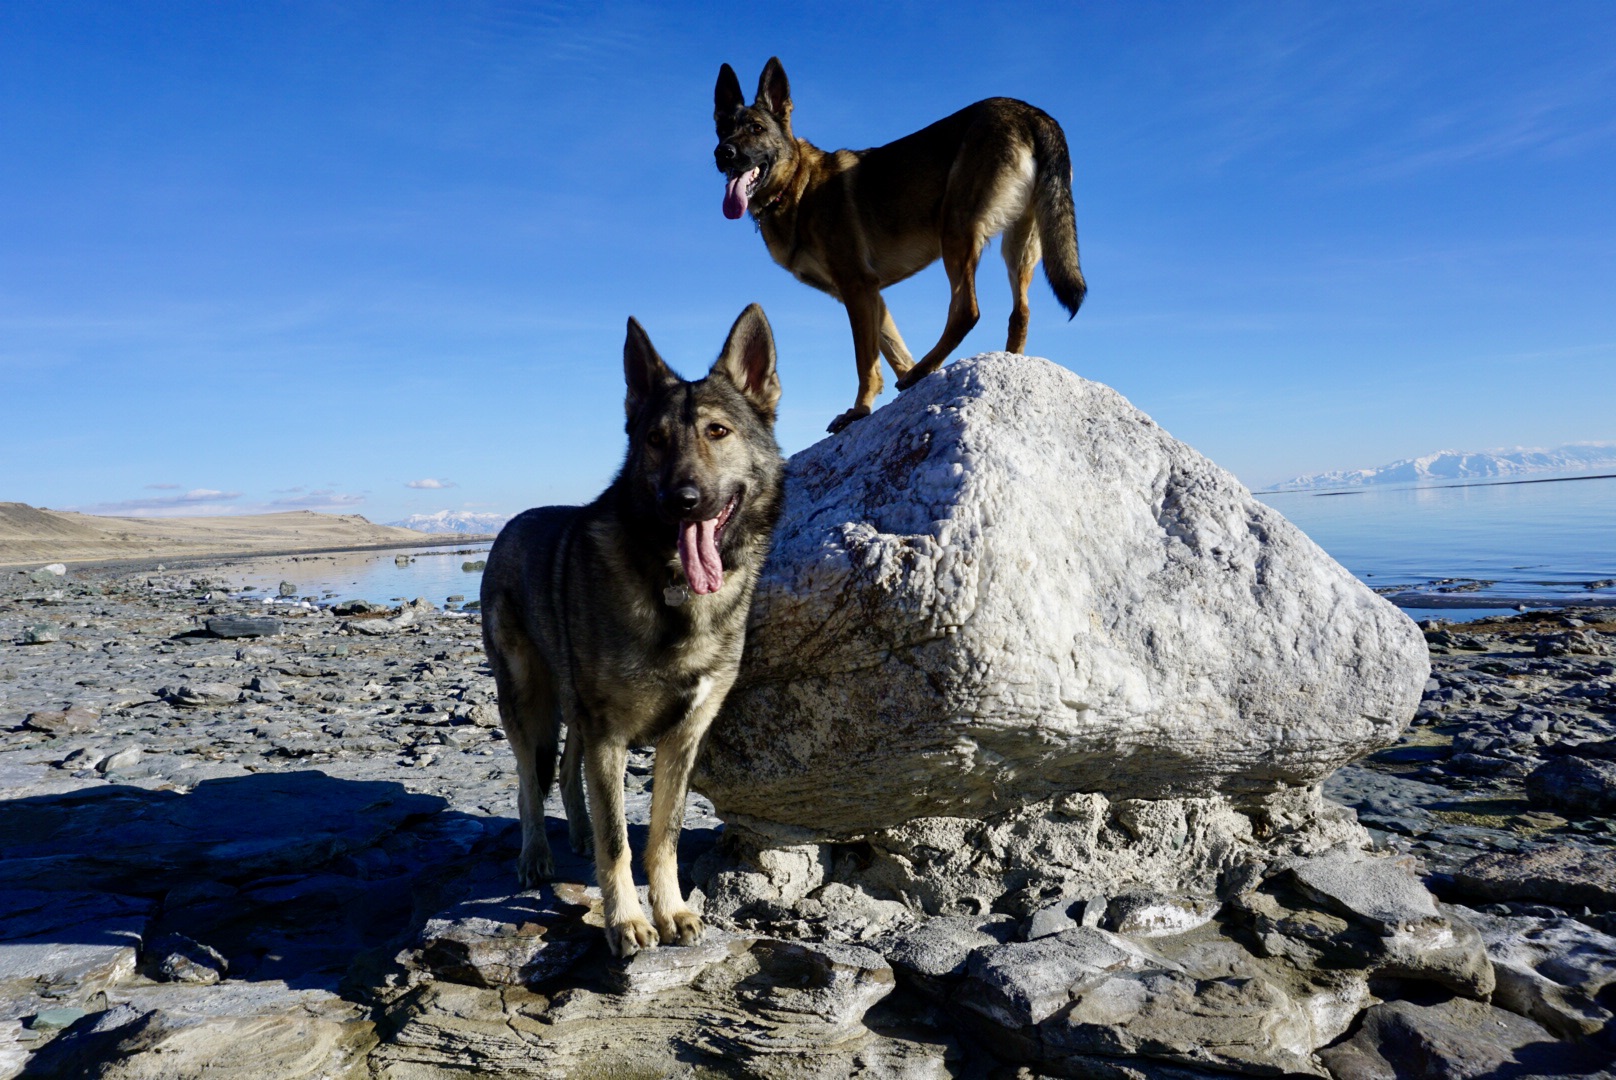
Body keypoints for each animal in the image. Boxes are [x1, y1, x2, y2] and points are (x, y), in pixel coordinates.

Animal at [479, 304, 784, 957]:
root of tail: (510, 523)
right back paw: (536, 853)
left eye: (717, 432)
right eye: (655, 440)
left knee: (564, 768)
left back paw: (574, 832)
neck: (671, 586)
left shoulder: (682, 739)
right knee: (527, 778)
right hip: (524, 696)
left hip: (571, 705)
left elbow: (662, 835)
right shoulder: (610, 735)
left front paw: (671, 910)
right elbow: (618, 840)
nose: (683, 500)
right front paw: (625, 921)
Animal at [714, 57, 1087, 434]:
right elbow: (892, 348)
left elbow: (865, 361)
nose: (723, 153)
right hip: (1021, 245)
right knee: (1020, 312)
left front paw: (859, 411)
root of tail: (1032, 113)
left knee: (966, 310)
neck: (796, 186)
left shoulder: (857, 287)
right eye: (723, 128)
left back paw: (924, 368)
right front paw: (905, 380)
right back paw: (989, 362)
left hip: (956, 231)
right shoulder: (869, 293)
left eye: (757, 128)